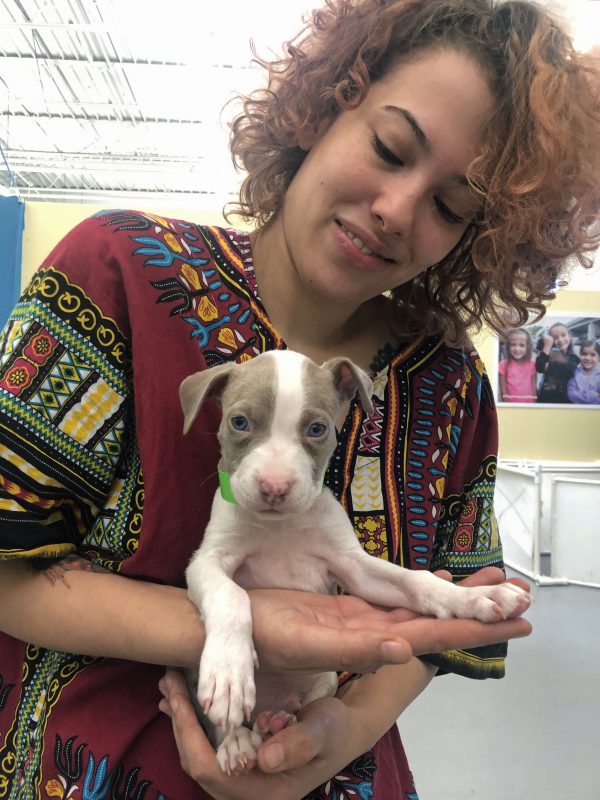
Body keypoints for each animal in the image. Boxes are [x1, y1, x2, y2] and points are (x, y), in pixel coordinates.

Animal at [179, 352, 528, 776]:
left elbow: (416, 582)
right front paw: (229, 670)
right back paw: (236, 741)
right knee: (221, 723)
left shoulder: (353, 566)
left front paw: (476, 596)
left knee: (303, 704)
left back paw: (279, 721)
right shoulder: (207, 562)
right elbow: (230, 596)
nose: (275, 488)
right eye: (239, 422)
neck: (281, 526)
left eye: (316, 429)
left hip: (324, 679)